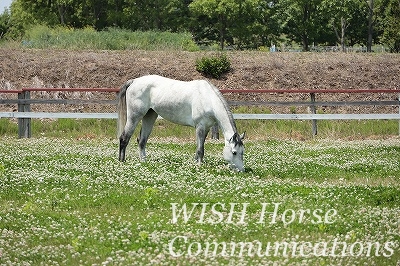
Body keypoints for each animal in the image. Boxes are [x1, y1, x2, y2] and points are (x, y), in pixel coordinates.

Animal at [117, 74, 245, 172]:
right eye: (234, 152)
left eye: (242, 152)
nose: (241, 171)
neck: (207, 99)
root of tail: (134, 81)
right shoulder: (200, 127)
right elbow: (200, 149)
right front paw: (199, 165)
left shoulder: (206, 128)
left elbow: (199, 147)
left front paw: (196, 162)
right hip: (134, 116)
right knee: (124, 138)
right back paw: (122, 161)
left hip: (150, 116)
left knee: (142, 141)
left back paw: (143, 161)